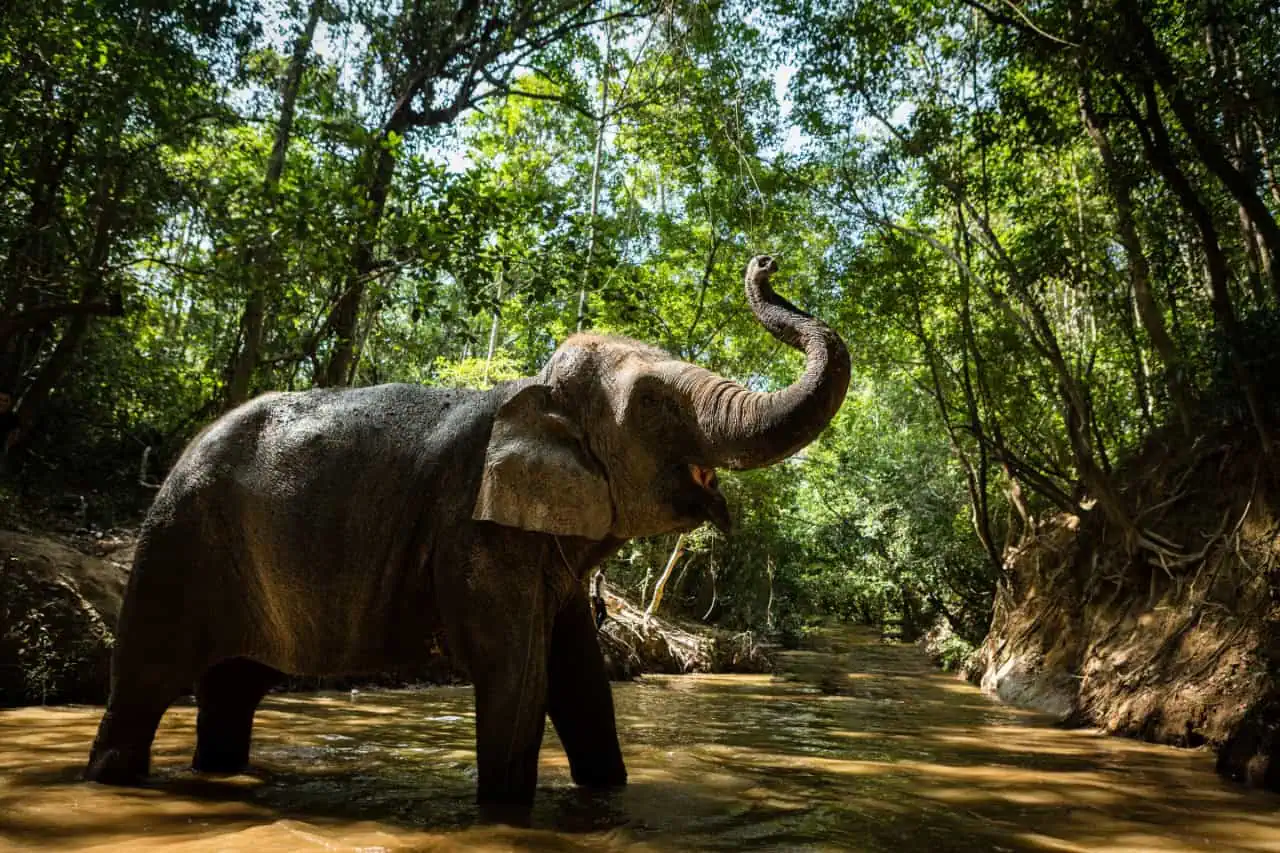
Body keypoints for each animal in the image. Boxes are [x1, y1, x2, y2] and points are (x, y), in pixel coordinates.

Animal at [84, 255, 850, 805]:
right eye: (656, 404)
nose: (766, 260)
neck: (531, 394)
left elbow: (581, 682)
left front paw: (607, 792)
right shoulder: (474, 533)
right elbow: (518, 679)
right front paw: (507, 810)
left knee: (233, 688)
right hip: (178, 542)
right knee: (144, 682)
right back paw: (112, 778)